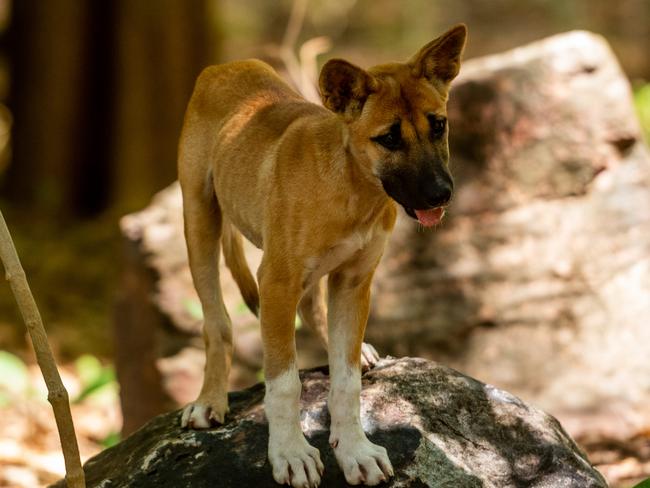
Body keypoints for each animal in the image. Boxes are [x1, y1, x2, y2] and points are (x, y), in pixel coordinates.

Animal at [175, 24, 464, 486]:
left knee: (313, 308)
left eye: (439, 126)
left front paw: (355, 451)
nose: (441, 194)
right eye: (388, 138)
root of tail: (226, 66)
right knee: (216, 324)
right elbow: (284, 384)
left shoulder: (354, 281)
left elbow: (346, 382)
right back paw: (209, 400)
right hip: (200, 218)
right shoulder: (276, 281)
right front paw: (291, 453)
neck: (352, 188)